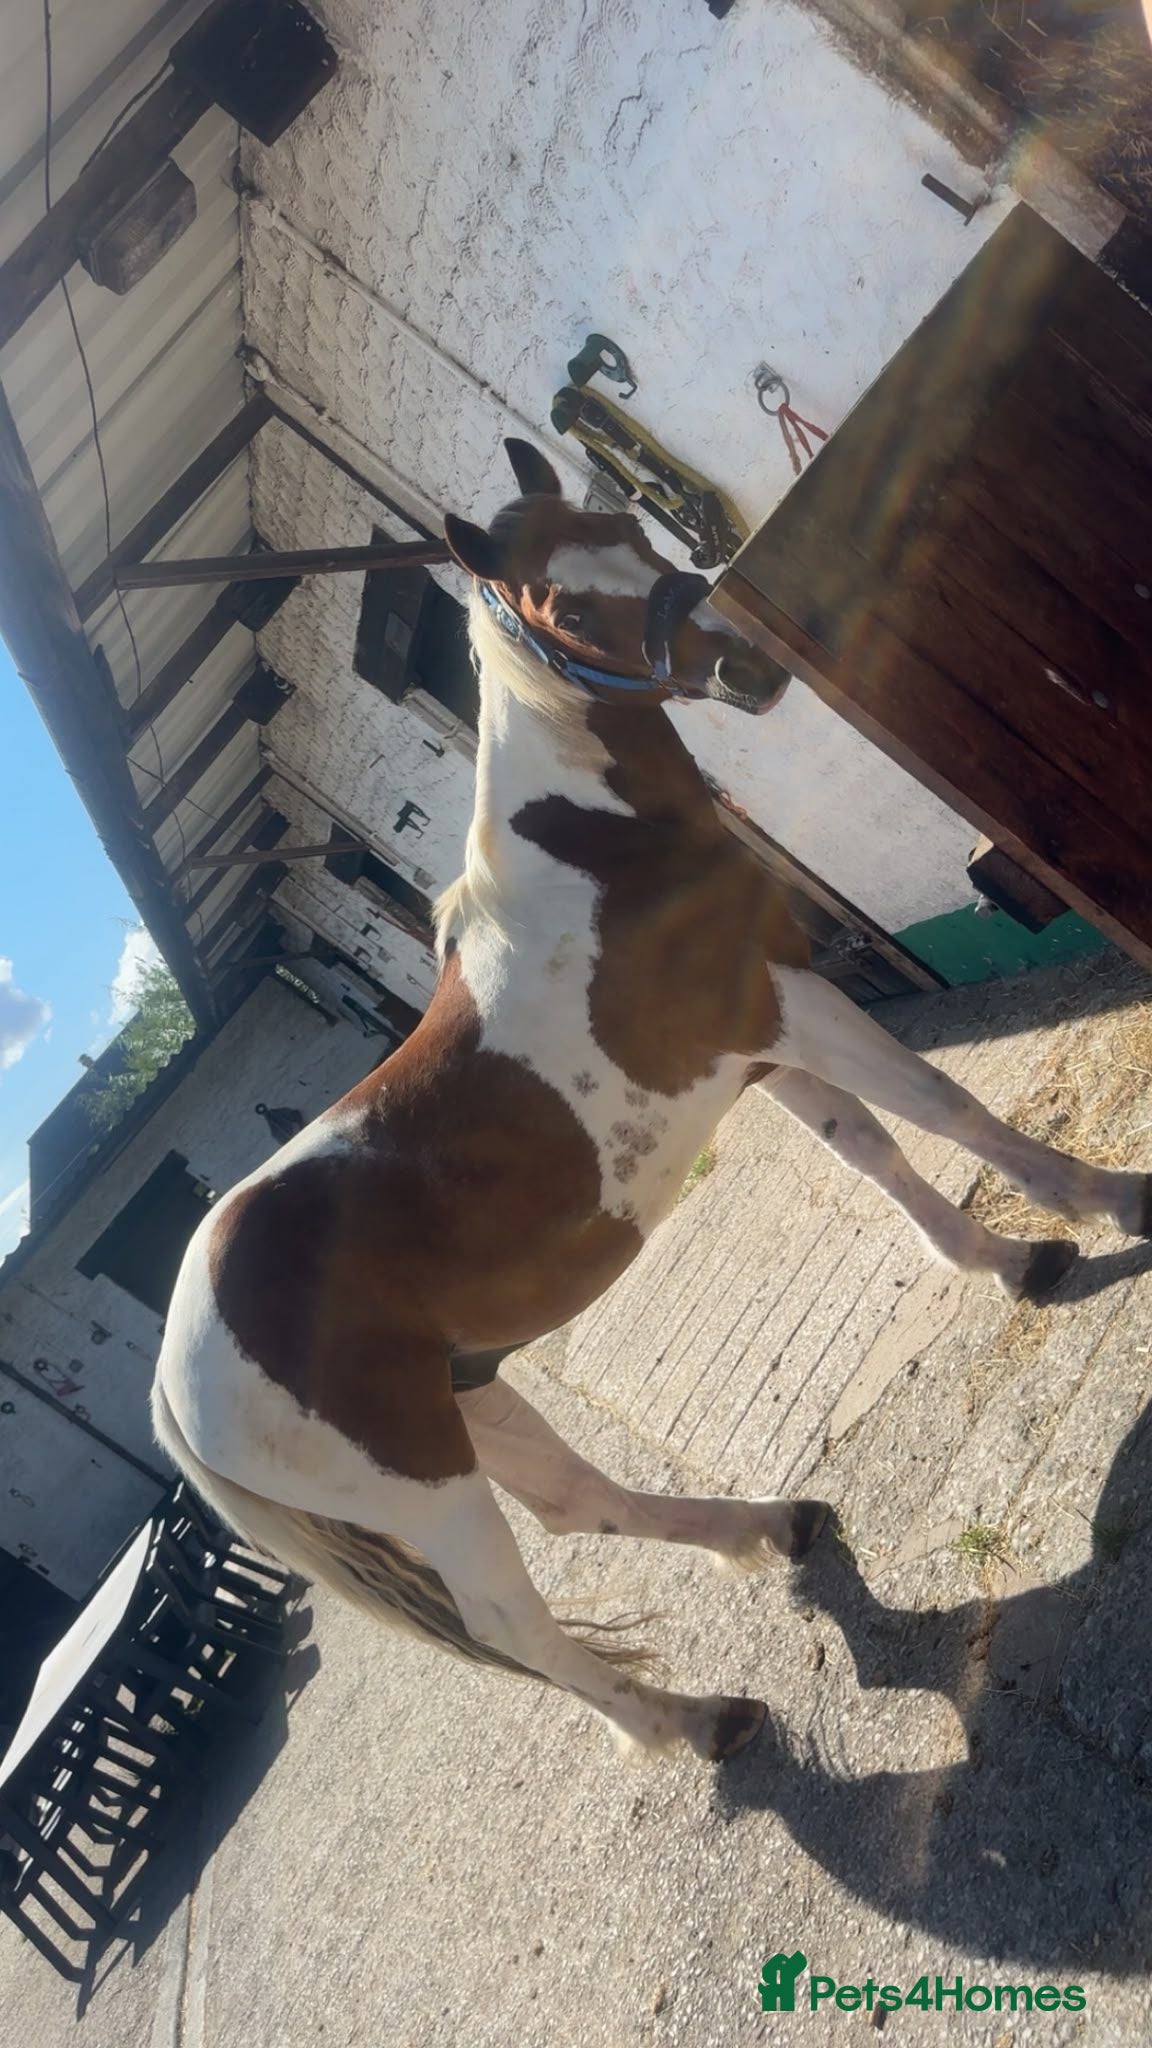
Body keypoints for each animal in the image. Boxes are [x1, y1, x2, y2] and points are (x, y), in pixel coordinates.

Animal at [153, 438, 1152, 1763]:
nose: (745, 660)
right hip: (424, 1485)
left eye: (633, 528)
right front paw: (1113, 1202)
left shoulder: (765, 1045)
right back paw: (699, 1719)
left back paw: (775, 1530)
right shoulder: (786, 1005)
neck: (602, 858)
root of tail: (173, 1386)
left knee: (582, 1503)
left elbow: (877, 1153)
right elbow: (943, 1107)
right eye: (566, 610)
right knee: (515, 1625)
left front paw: (1013, 1260)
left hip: (474, 1394)